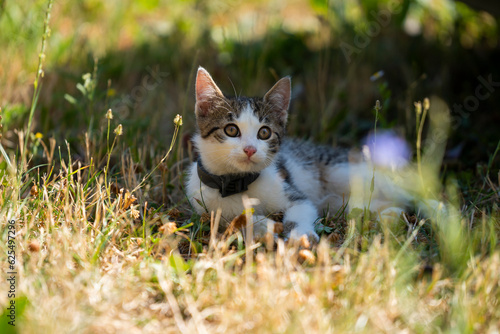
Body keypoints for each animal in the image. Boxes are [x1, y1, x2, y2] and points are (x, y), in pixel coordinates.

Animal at [186, 66, 440, 241]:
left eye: (264, 133)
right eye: (231, 130)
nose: (250, 149)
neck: (238, 184)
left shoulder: (295, 194)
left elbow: (301, 210)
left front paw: (301, 235)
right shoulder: (206, 208)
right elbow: (235, 219)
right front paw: (262, 226)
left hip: (349, 172)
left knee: (412, 194)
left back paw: (440, 212)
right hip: (343, 201)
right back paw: (391, 214)